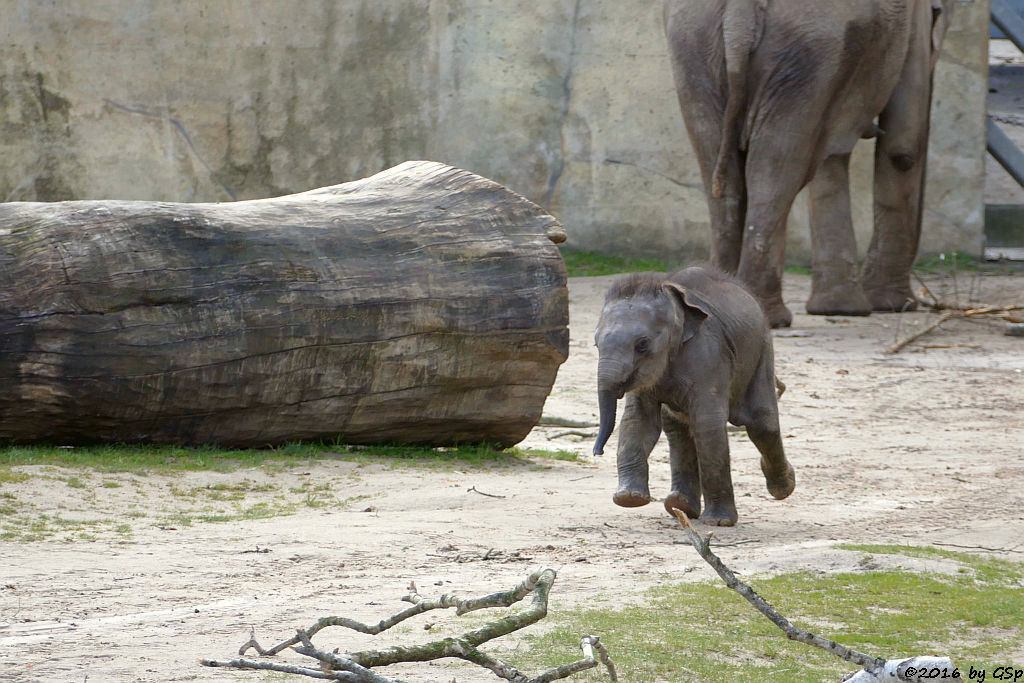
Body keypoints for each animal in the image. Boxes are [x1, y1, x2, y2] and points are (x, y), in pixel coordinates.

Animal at [598, 264, 794, 528]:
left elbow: (707, 423)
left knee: (762, 425)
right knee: (678, 429)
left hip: (761, 352)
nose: (598, 453)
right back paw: (680, 507)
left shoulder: (709, 356)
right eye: (596, 344)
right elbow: (639, 419)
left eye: (642, 345)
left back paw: (783, 488)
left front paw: (719, 523)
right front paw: (629, 499)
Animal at [667, 0, 954, 327]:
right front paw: (891, 306)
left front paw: (840, 309)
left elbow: (828, 159)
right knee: (776, 173)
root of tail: (740, 12)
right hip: (805, 56)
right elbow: (903, 148)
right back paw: (770, 317)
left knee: (732, 174)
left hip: (696, 50)